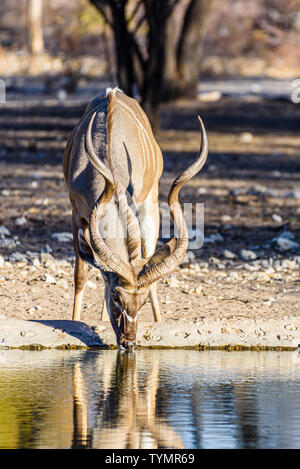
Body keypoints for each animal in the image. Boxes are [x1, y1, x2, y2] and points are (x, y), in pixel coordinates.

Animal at [63, 87, 207, 348]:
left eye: (141, 303)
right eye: (115, 297)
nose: (128, 342)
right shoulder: (77, 214)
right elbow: (82, 274)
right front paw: (74, 322)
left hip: (151, 204)